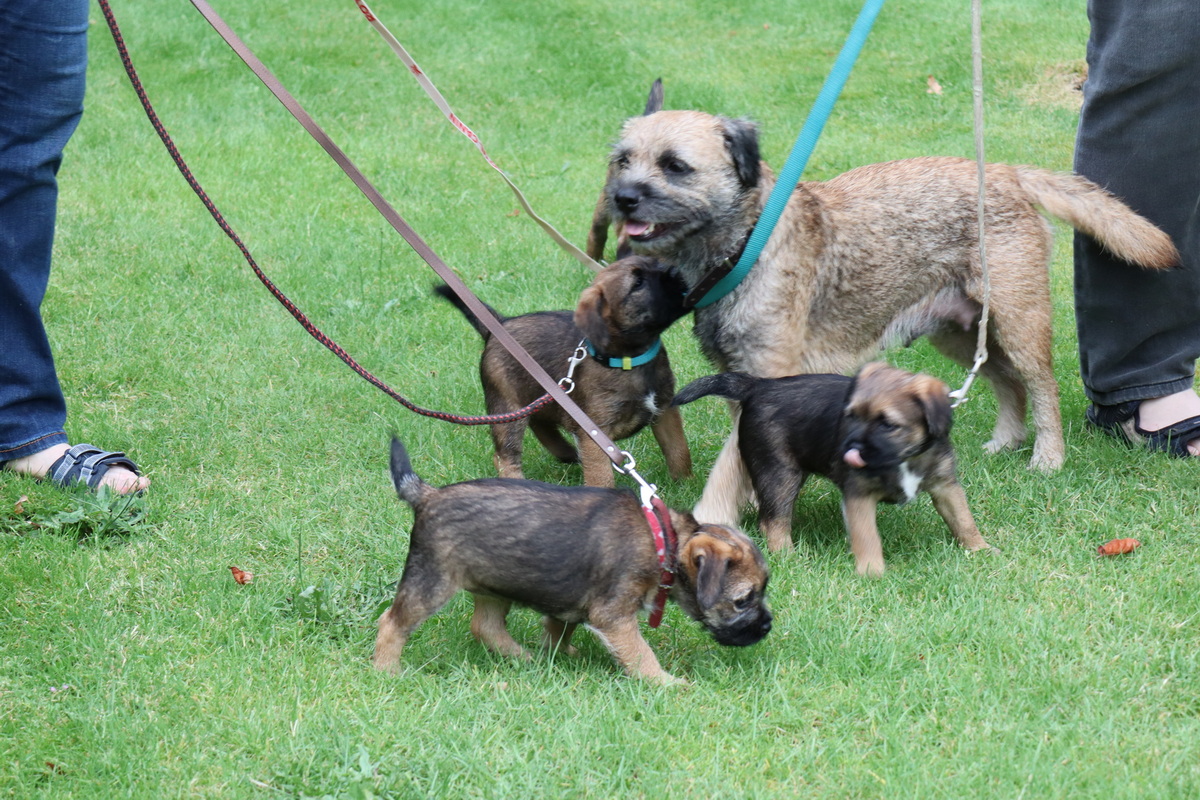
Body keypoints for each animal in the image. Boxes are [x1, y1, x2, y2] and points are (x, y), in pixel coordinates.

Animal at [373, 437, 773, 684]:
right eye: (742, 600)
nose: (767, 626)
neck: (665, 542)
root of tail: (428, 495)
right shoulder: (613, 615)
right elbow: (640, 654)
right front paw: (665, 683)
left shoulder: (572, 606)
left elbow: (559, 627)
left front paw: (559, 654)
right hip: (432, 581)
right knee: (391, 622)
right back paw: (387, 671)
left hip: (494, 583)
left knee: (484, 626)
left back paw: (523, 658)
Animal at [435, 255, 692, 488]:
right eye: (637, 283)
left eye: (655, 262)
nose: (676, 270)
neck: (629, 359)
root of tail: (500, 324)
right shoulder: (595, 435)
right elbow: (602, 477)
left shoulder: (665, 410)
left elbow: (679, 451)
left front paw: (684, 484)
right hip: (506, 405)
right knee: (505, 455)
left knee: (540, 423)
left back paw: (566, 451)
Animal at [591, 84, 1179, 527]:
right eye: (622, 160)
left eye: (675, 166)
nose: (623, 197)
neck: (747, 242)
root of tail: (1007, 172)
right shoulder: (740, 382)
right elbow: (744, 457)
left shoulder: (765, 375)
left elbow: (730, 464)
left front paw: (718, 518)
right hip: (959, 331)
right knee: (1005, 381)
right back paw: (1004, 442)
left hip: (1019, 318)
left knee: (1042, 387)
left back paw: (1047, 458)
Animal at [672, 362, 994, 577]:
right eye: (850, 417)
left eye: (888, 424)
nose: (850, 449)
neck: (903, 457)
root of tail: (760, 385)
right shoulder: (859, 496)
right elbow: (867, 536)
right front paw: (872, 573)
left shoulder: (945, 485)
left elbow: (963, 518)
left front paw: (980, 549)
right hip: (779, 473)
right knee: (773, 520)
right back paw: (787, 556)